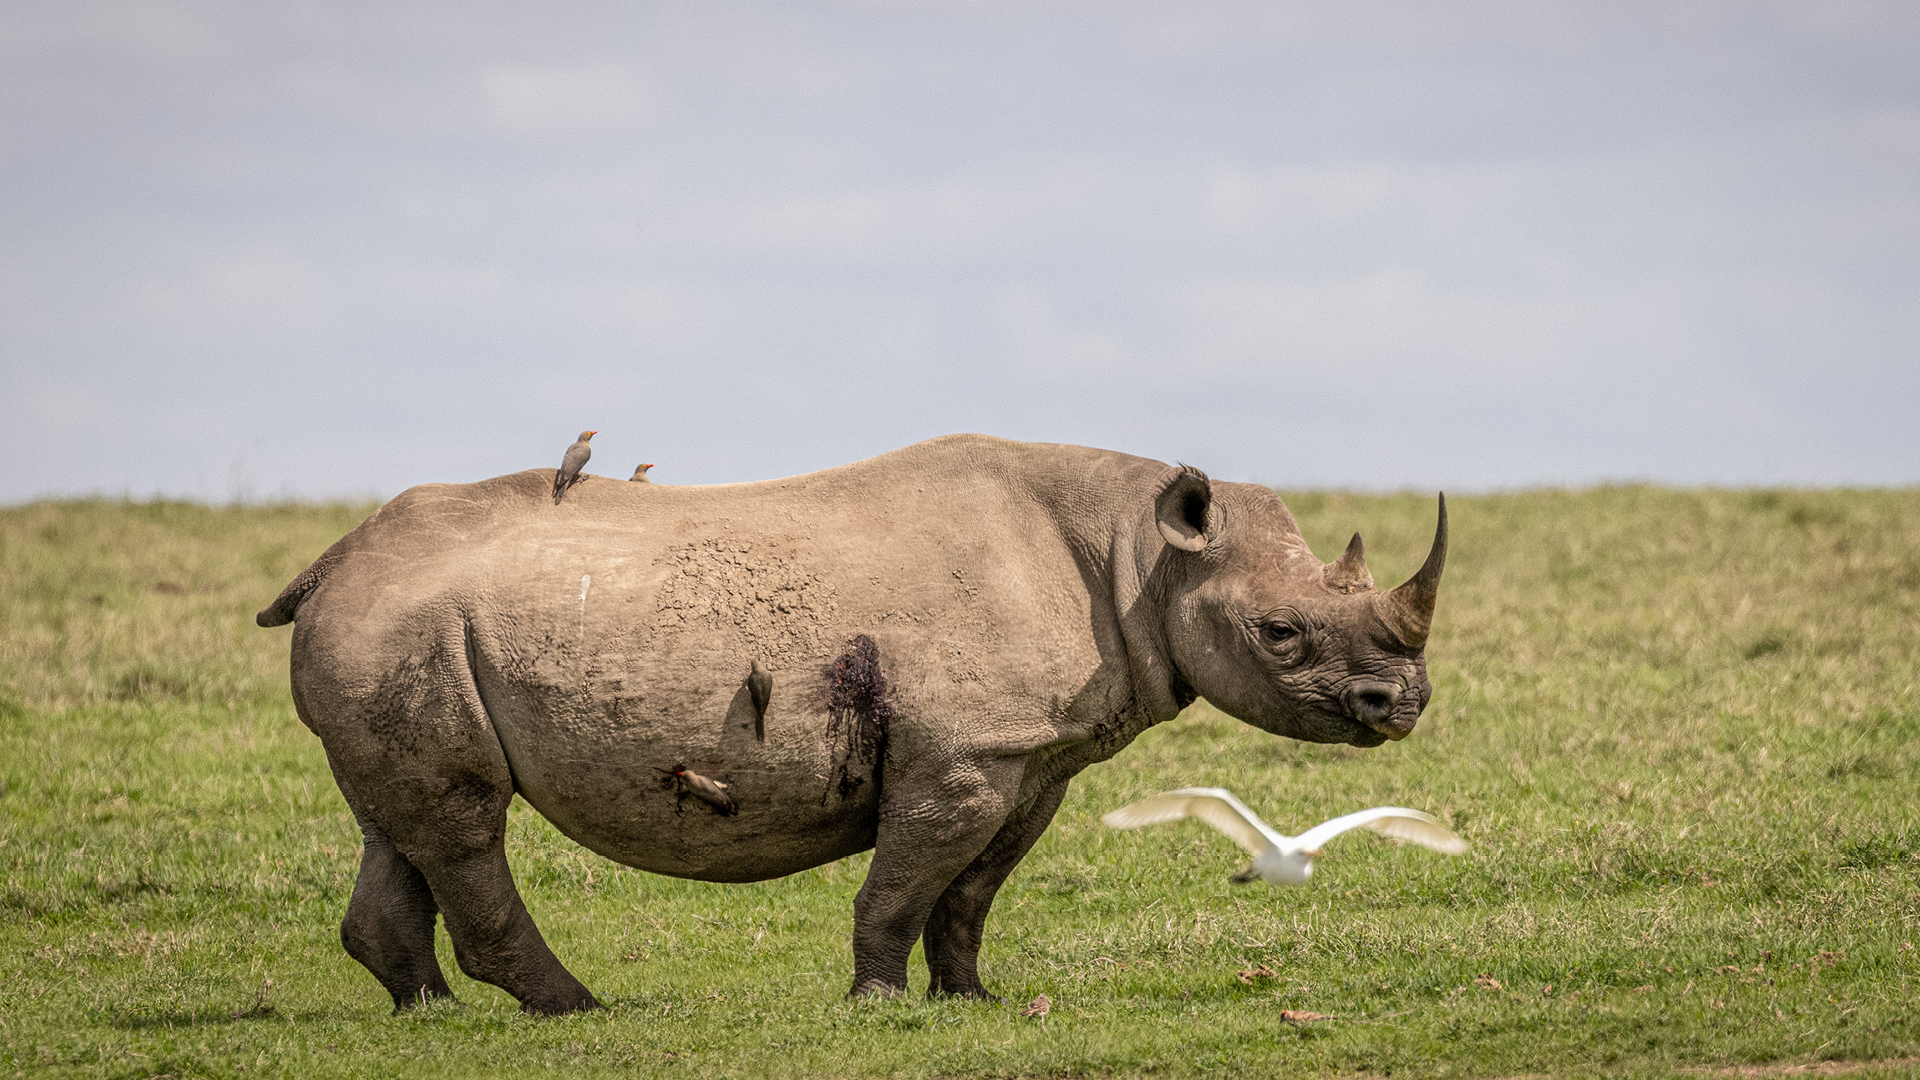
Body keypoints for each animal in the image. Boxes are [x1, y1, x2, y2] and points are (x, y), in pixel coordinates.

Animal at [256, 434, 1446, 1015]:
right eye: (1280, 633)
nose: (1402, 706)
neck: (1140, 555)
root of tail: (331, 563)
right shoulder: (965, 754)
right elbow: (906, 882)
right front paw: (877, 1004)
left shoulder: (1031, 757)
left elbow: (969, 891)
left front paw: (974, 1002)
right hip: (401, 619)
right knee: (462, 820)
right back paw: (575, 1012)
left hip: (397, 626)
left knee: (404, 818)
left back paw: (428, 1012)